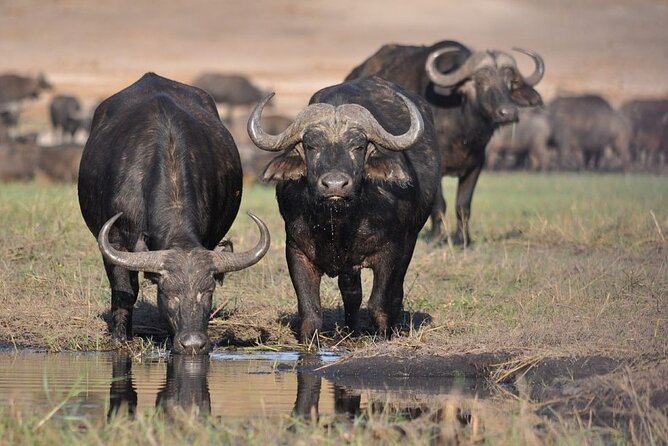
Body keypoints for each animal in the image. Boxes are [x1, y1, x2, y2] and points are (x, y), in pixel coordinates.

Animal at [80, 72, 272, 356]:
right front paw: (120, 338)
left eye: (208, 292)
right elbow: (125, 290)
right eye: (168, 293)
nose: (193, 343)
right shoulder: (114, 241)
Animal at [248, 76, 440, 342]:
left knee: (394, 292)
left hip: (410, 241)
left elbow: (379, 303)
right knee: (352, 292)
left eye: (358, 146)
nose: (335, 185)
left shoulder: (391, 251)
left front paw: (384, 336)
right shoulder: (296, 250)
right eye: (311, 146)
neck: (339, 222)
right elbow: (310, 310)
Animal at [348, 40, 544, 246]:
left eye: (509, 83)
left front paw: (463, 239)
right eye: (480, 82)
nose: (508, 112)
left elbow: (463, 205)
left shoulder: (476, 164)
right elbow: (439, 204)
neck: (461, 127)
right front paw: (437, 237)